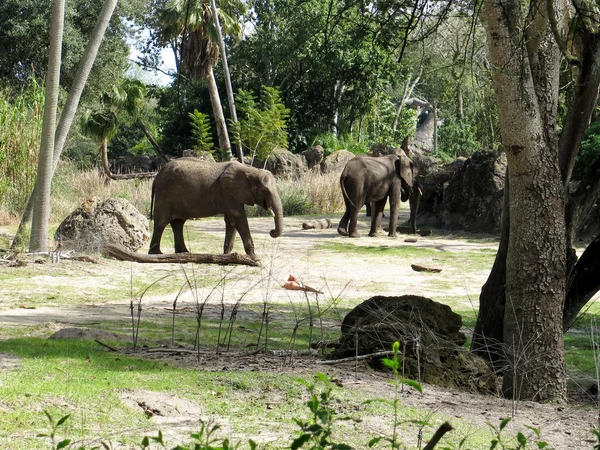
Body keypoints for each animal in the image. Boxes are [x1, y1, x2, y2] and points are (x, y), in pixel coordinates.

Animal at [149, 158, 282, 262]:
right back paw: (156, 254)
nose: (271, 232)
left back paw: (183, 253)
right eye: (264, 191)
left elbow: (231, 221)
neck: (251, 170)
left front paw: (227, 255)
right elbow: (239, 218)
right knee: (161, 222)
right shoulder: (228, 192)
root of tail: (157, 176)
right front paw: (255, 259)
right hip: (165, 193)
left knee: (178, 223)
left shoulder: (232, 194)